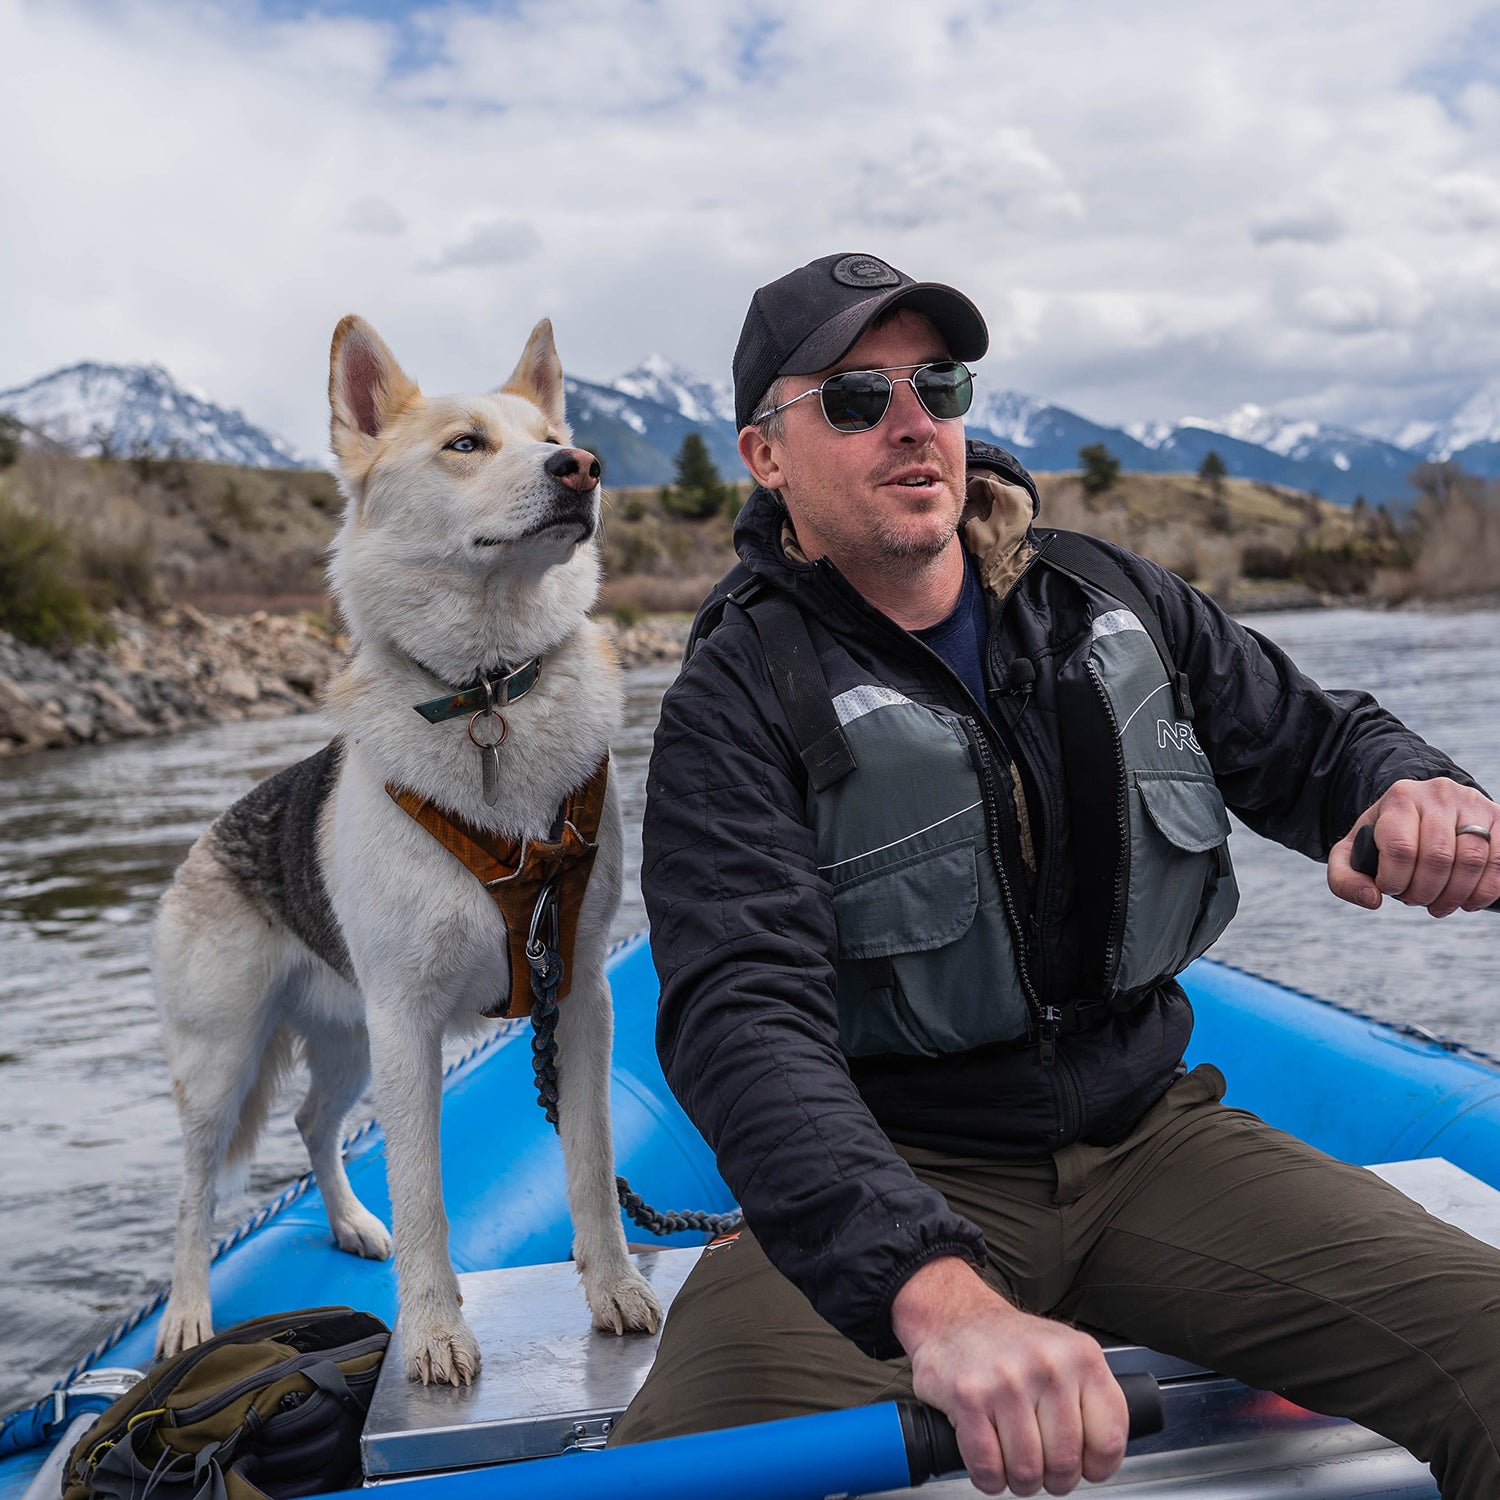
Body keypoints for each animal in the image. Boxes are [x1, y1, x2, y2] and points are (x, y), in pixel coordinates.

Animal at [156, 313, 663, 1380]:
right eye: (466, 444)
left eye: (551, 434)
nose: (583, 467)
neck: (488, 695)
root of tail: (215, 832)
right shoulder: (408, 1025)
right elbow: (425, 1192)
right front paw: (432, 1333)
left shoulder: (579, 997)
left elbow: (591, 1165)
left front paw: (615, 1289)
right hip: (226, 1063)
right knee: (192, 1192)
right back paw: (185, 1315)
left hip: (347, 1040)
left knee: (313, 1123)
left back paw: (351, 1225)